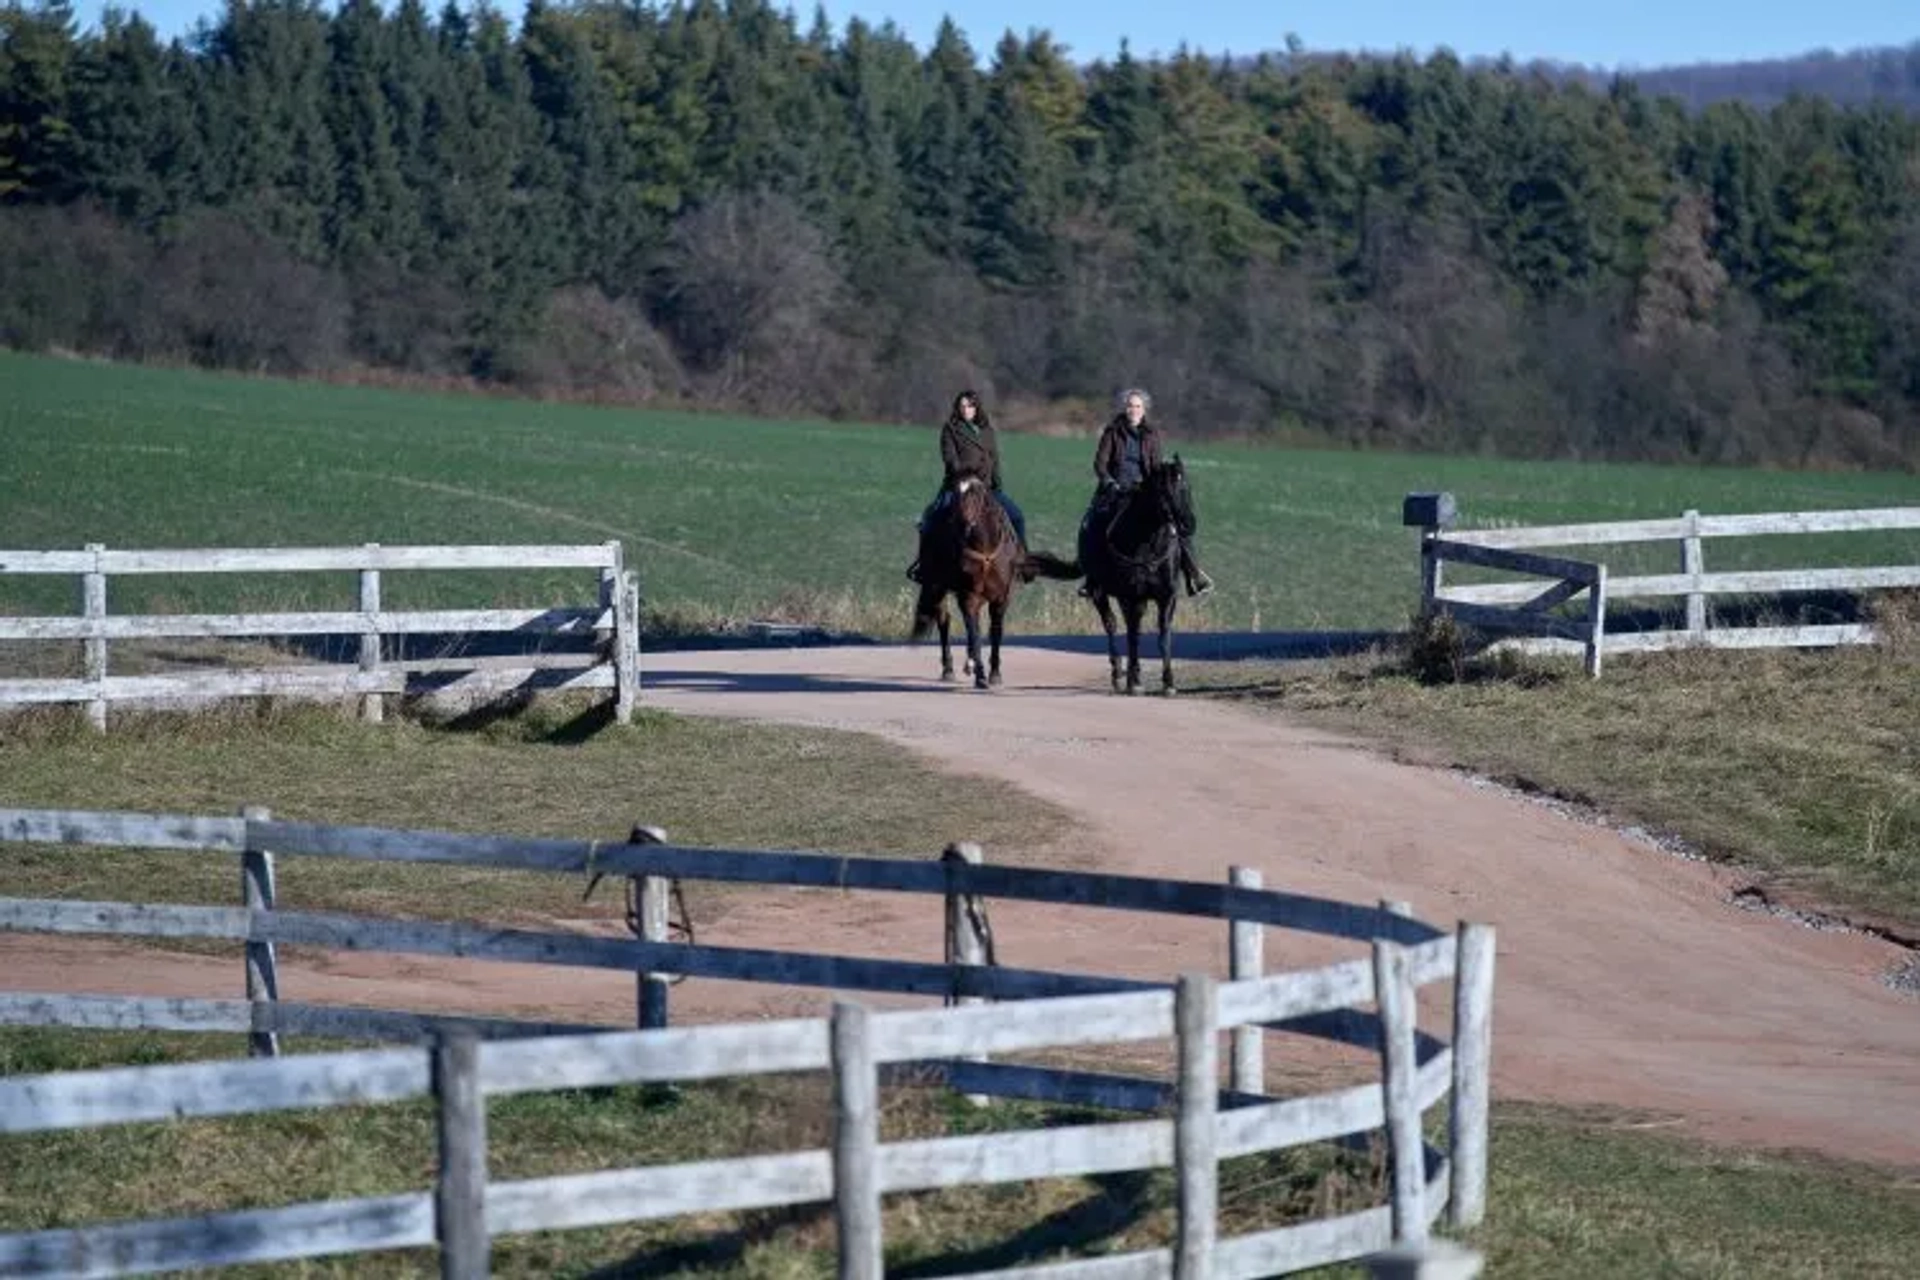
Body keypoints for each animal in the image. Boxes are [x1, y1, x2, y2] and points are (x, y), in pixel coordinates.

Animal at [913, 474, 1082, 690]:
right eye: (955, 495)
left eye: (976, 496)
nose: (959, 524)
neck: (984, 549)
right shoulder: (968, 596)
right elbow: (974, 633)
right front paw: (980, 674)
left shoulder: (1001, 597)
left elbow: (995, 631)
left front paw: (994, 673)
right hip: (937, 587)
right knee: (944, 621)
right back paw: (949, 669)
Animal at [1075, 454, 1190, 694]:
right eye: (1164, 491)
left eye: (1186, 487)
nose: (1188, 524)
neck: (1147, 543)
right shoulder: (1130, 596)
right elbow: (1133, 635)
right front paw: (1134, 682)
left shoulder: (1167, 596)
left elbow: (1163, 634)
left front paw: (1169, 682)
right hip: (1100, 592)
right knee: (1111, 624)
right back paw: (1119, 674)